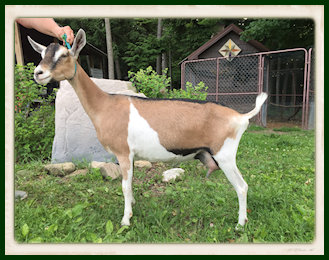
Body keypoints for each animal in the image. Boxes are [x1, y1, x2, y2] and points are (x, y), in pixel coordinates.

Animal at [28, 28, 266, 228]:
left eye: (64, 55)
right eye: (42, 54)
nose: (38, 73)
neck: (105, 105)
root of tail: (240, 116)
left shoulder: (123, 152)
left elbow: (124, 186)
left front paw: (125, 220)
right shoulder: (130, 156)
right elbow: (130, 184)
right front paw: (132, 206)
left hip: (225, 154)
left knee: (242, 186)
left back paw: (240, 224)